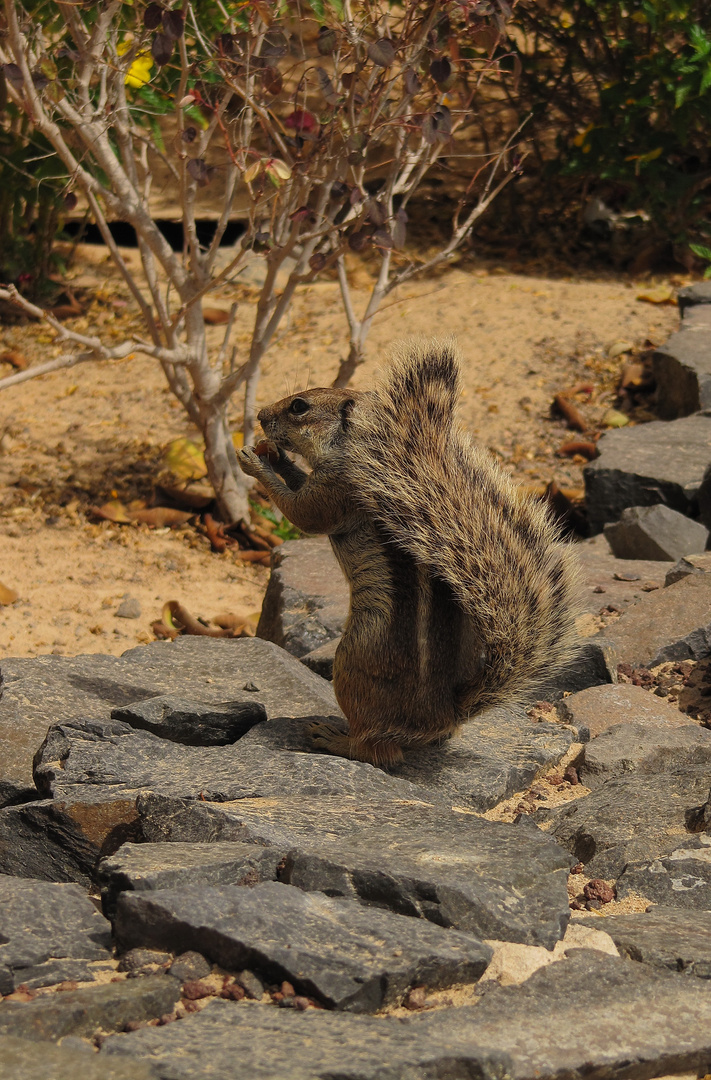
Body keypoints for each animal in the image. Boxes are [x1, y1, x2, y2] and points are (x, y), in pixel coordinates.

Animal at [237, 339, 583, 768]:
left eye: (299, 406)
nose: (260, 415)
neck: (360, 447)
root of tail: (448, 713)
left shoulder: (339, 487)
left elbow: (305, 514)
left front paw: (258, 463)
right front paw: (277, 456)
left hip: (352, 663)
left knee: (377, 751)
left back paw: (334, 738)